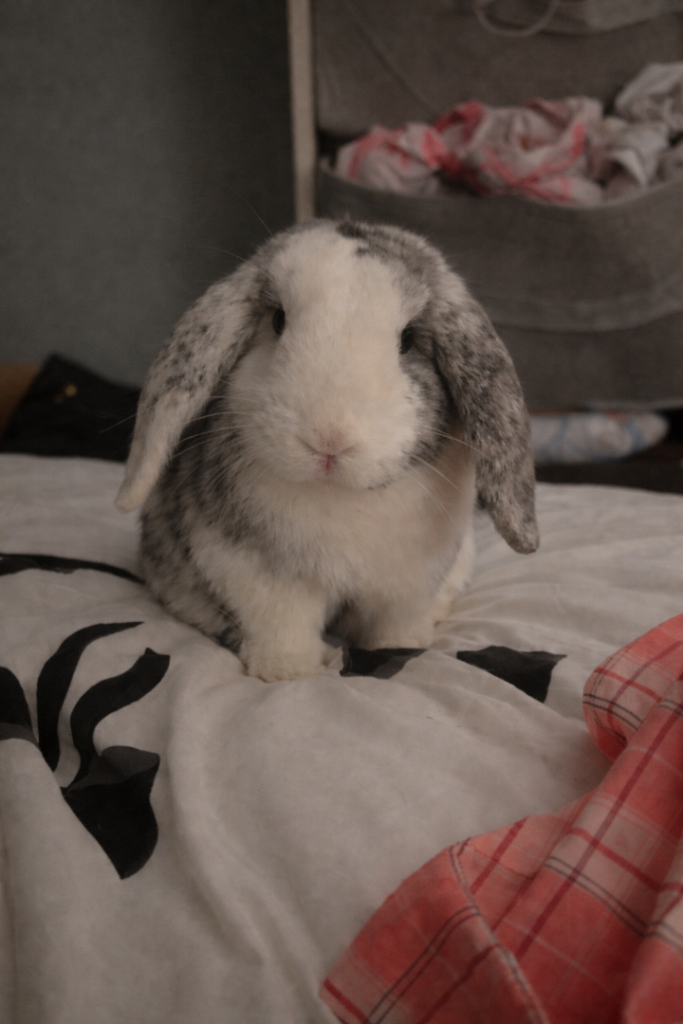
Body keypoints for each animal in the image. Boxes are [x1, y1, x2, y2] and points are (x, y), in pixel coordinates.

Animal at [116, 219, 538, 682]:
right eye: (278, 320)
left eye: (408, 339)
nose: (329, 439)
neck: (341, 495)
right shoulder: (259, 574)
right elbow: (282, 625)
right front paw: (288, 672)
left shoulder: (407, 584)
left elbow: (394, 626)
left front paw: (403, 648)